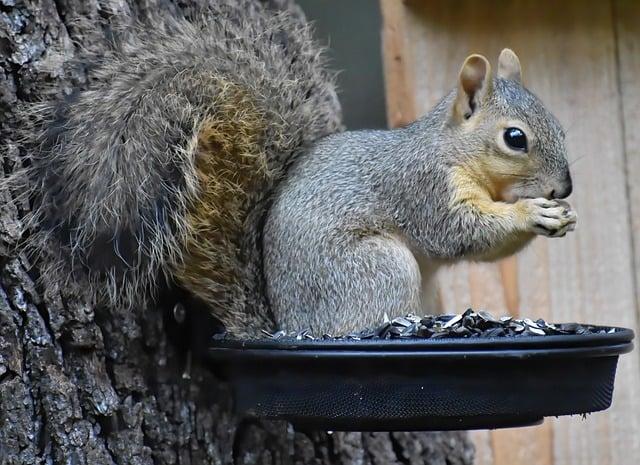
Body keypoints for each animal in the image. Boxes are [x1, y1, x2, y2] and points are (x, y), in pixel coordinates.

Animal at [15, 0, 576, 336]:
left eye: (562, 127)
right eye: (515, 138)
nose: (565, 187)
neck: (452, 151)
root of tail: (291, 326)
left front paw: (559, 216)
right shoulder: (423, 188)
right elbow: (459, 232)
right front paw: (534, 214)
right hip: (378, 268)